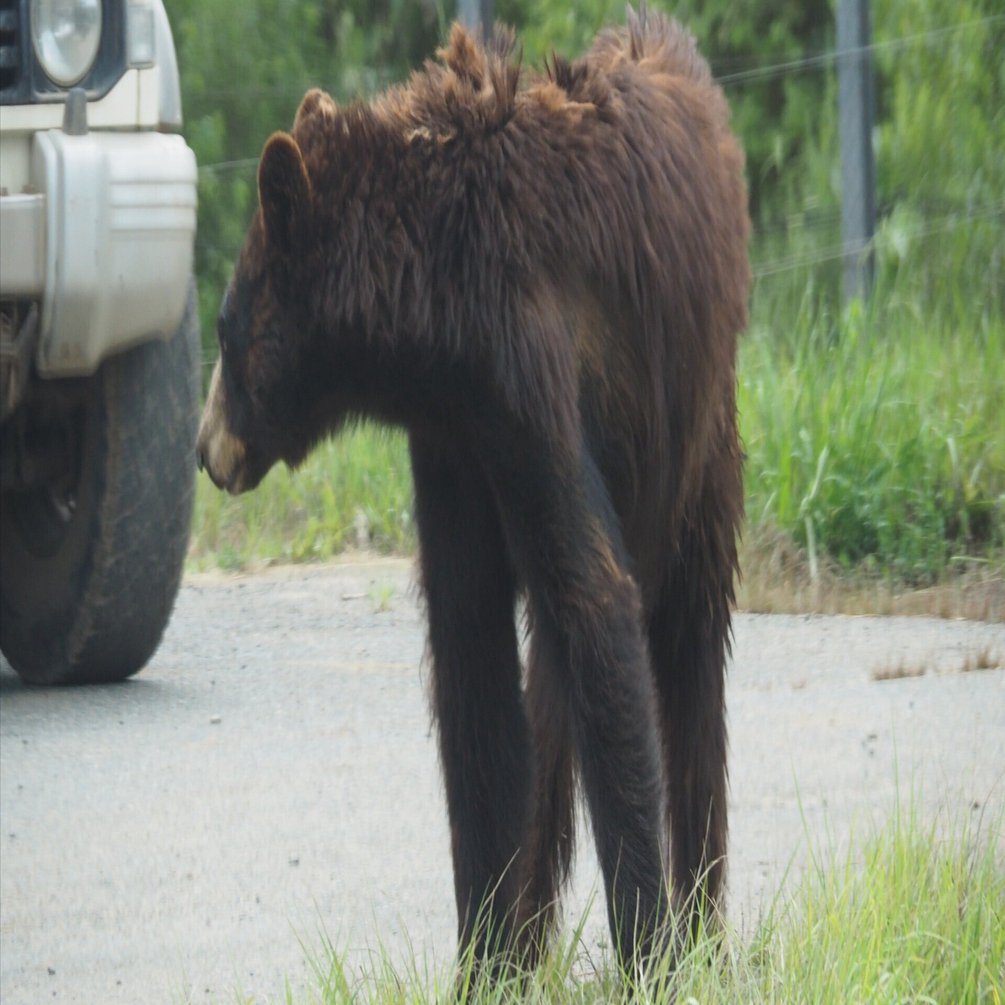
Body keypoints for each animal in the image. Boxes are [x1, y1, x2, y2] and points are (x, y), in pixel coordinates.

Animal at [197, 6, 749, 972]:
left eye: (226, 327)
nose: (203, 447)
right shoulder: (454, 445)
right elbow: (471, 654)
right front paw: (488, 948)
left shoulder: (526, 379)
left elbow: (594, 594)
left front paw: (642, 945)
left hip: (701, 431)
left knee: (686, 656)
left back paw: (701, 928)